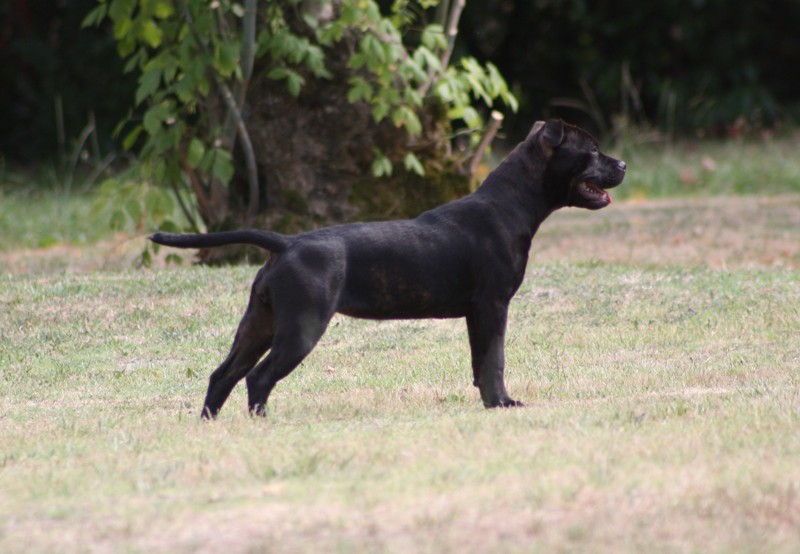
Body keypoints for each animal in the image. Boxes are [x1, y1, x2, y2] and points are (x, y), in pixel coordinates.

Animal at [150, 119, 626, 419]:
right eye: (592, 150)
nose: (621, 164)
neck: (512, 203)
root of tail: (286, 244)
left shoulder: (476, 313)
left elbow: (479, 362)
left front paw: (488, 402)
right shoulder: (493, 306)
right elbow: (495, 360)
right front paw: (503, 404)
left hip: (258, 323)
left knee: (224, 374)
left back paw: (209, 426)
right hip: (301, 327)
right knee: (258, 377)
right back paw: (261, 422)